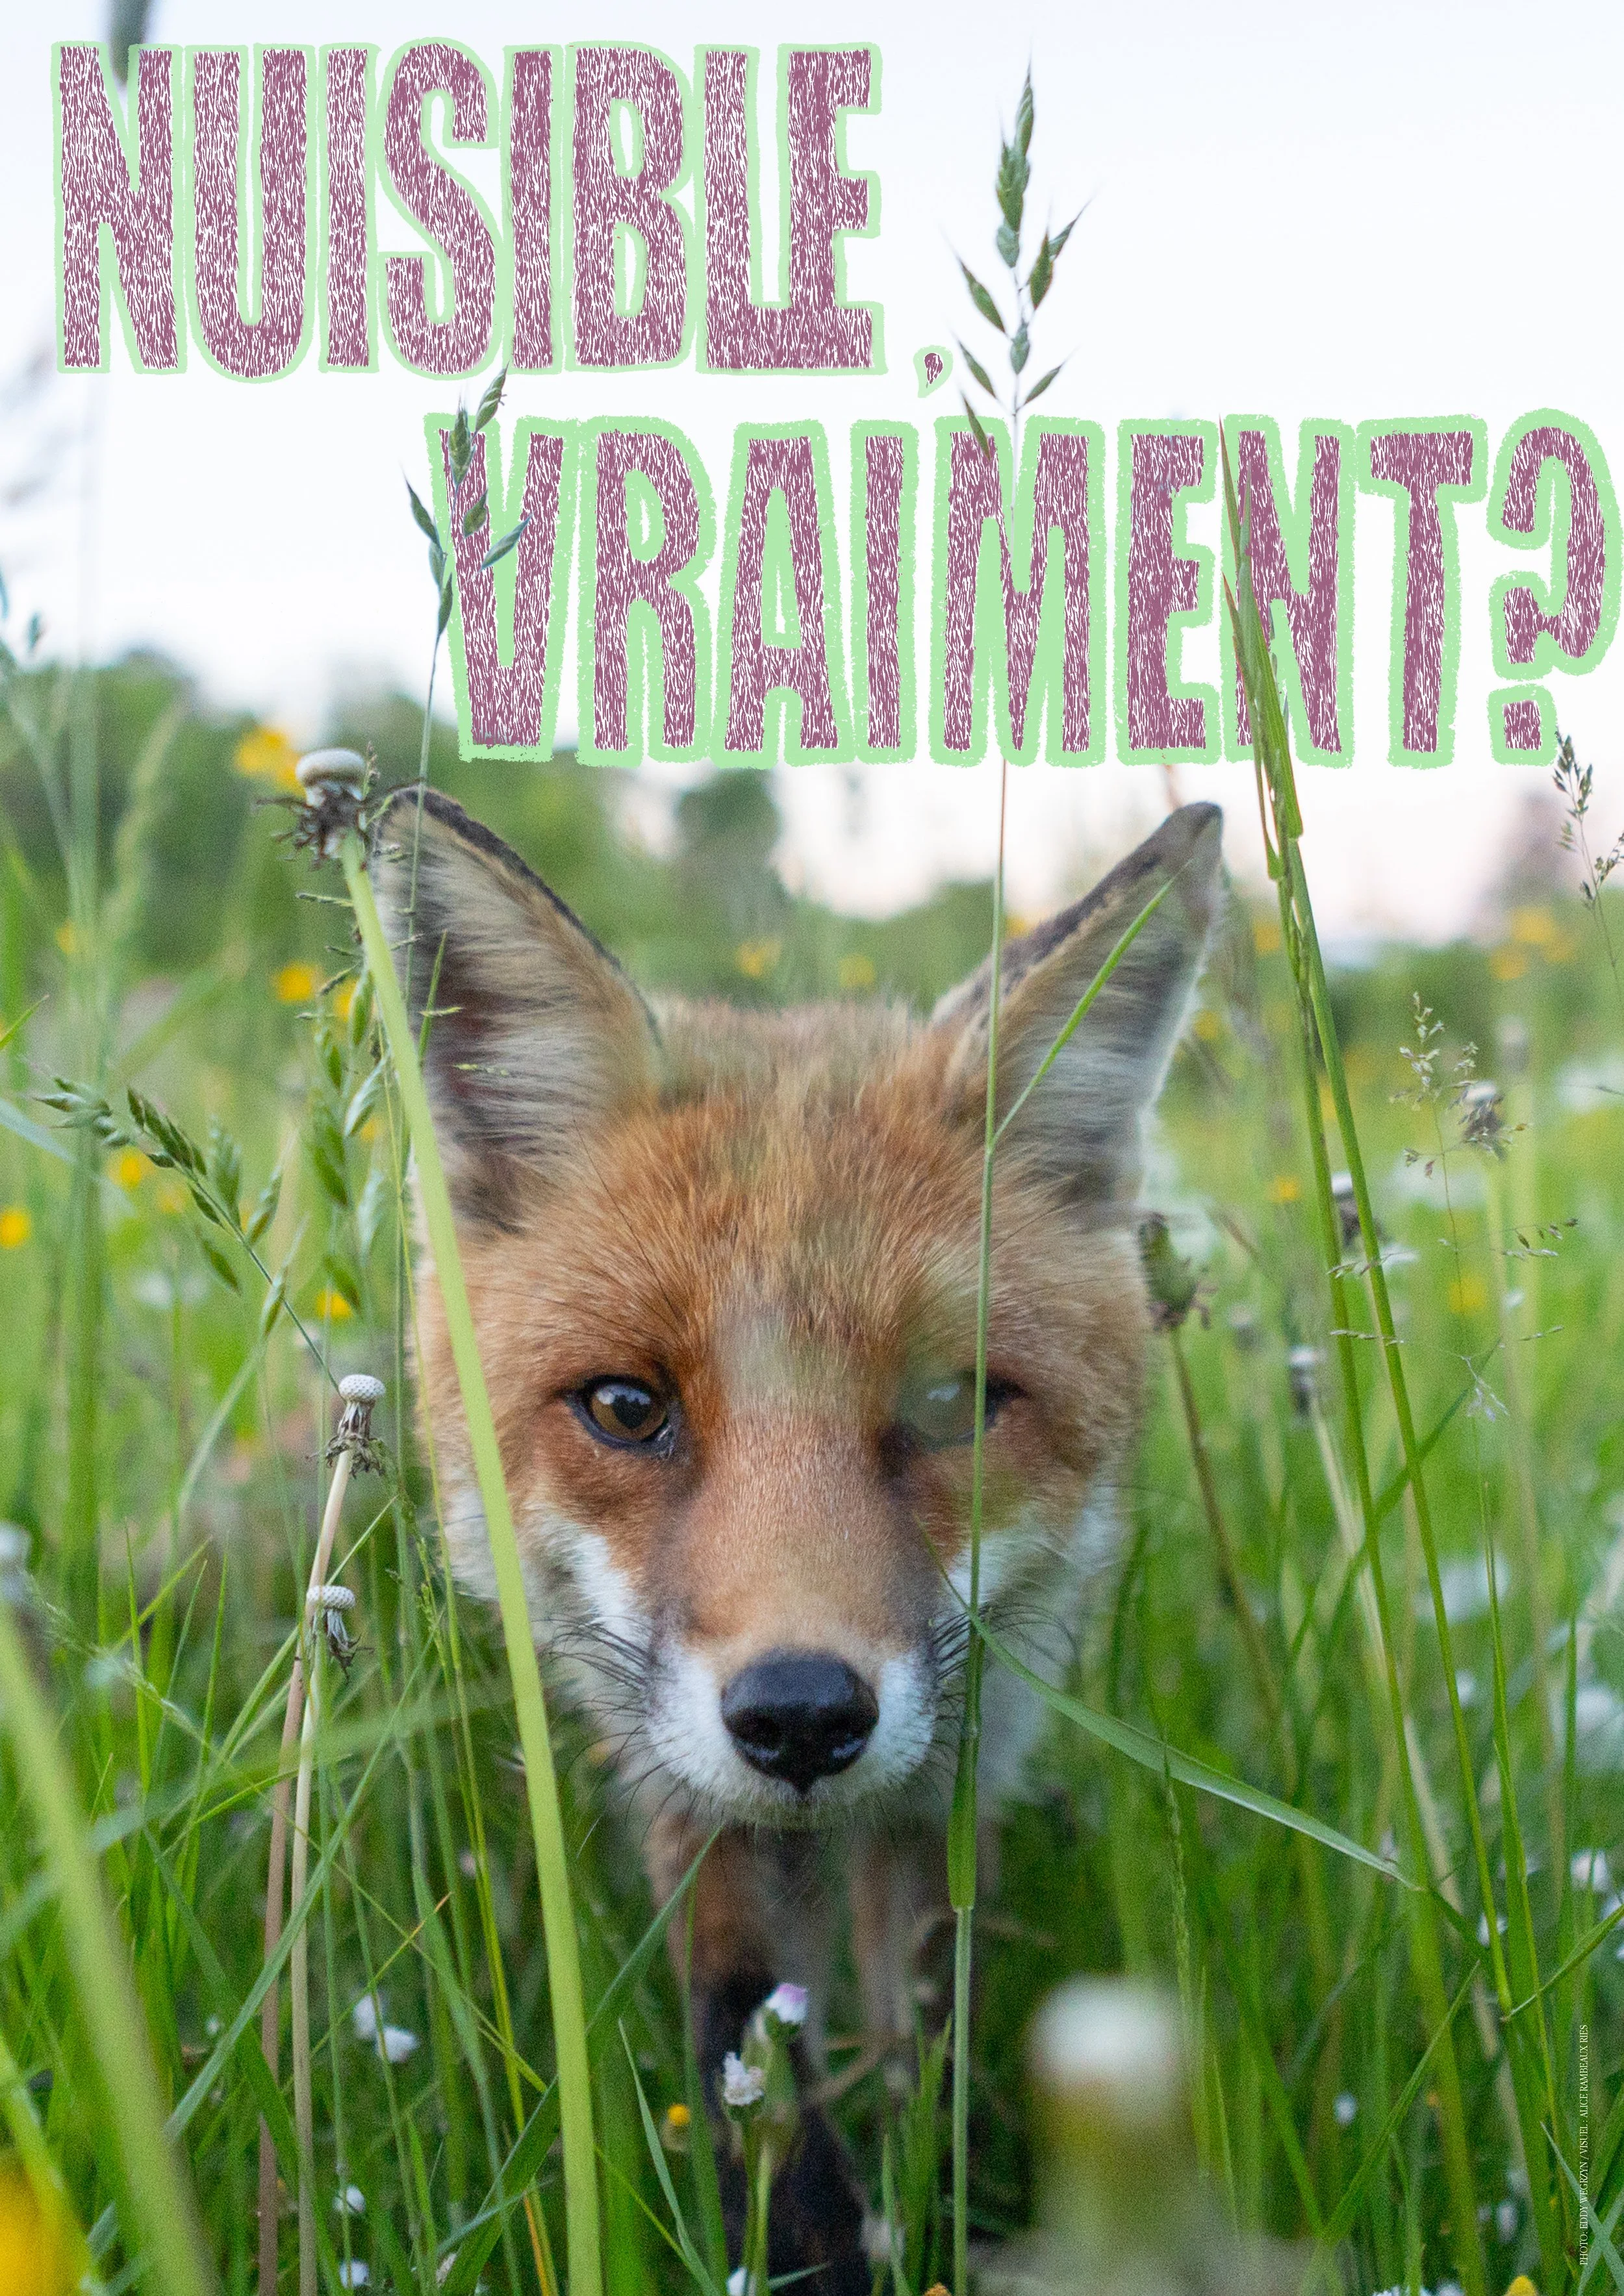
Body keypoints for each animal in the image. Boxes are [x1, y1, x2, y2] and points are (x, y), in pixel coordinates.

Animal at [373, 788, 1223, 2288]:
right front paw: (806, 2243)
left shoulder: (941, 1793)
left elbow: (929, 2038)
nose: (800, 1718)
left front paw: (944, 2201)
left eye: (949, 1403)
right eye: (626, 1407)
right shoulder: (684, 1797)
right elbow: (744, 2052)